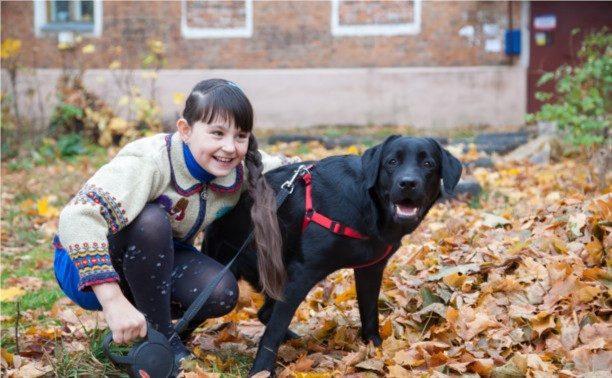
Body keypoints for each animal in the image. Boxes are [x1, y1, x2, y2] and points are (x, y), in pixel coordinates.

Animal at [203, 135, 462, 376]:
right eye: (392, 162)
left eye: (428, 164)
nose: (408, 183)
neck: (367, 204)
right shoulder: (302, 273)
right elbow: (274, 329)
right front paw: (262, 370)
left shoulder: (371, 269)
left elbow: (369, 313)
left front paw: (375, 348)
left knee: (266, 312)